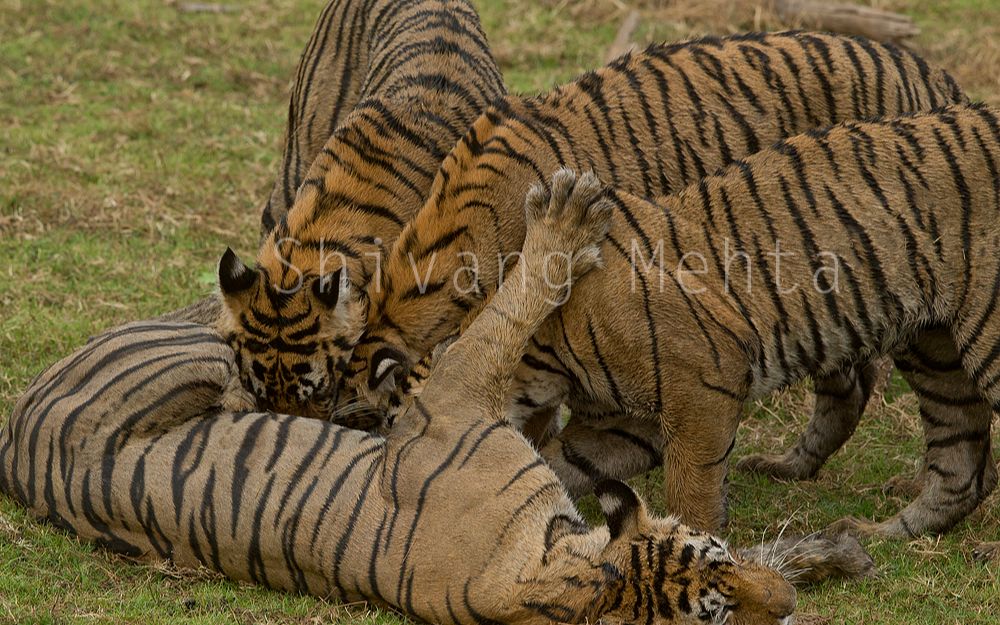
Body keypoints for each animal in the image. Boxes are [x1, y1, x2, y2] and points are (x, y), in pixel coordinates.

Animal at [0, 177, 872, 624]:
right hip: (197, 354)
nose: (787, 608)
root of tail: (14, 445)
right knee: (231, 314)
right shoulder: (456, 392)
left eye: (720, 561)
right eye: (715, 608)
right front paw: (564, 221)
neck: (556, 576)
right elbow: (510, 310)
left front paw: (825, 556)